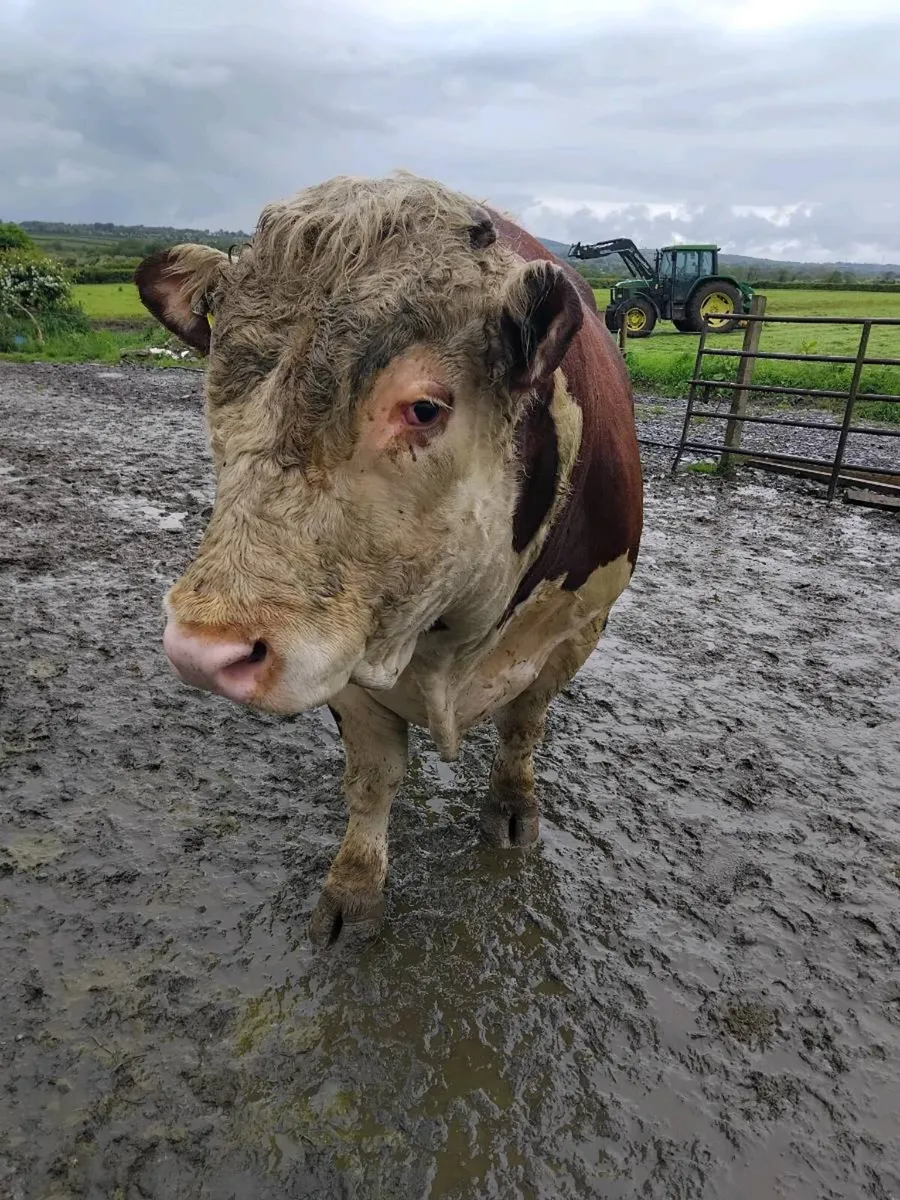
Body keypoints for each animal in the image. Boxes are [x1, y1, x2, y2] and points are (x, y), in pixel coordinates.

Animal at [134, 172, 643, 947]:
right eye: (216, 387)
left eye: (425, 408)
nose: (203, 650)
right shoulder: (340, 650)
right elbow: (374, 778)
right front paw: (354, 887)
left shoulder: (579, 625)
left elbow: (524, 725)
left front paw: (513, 808)